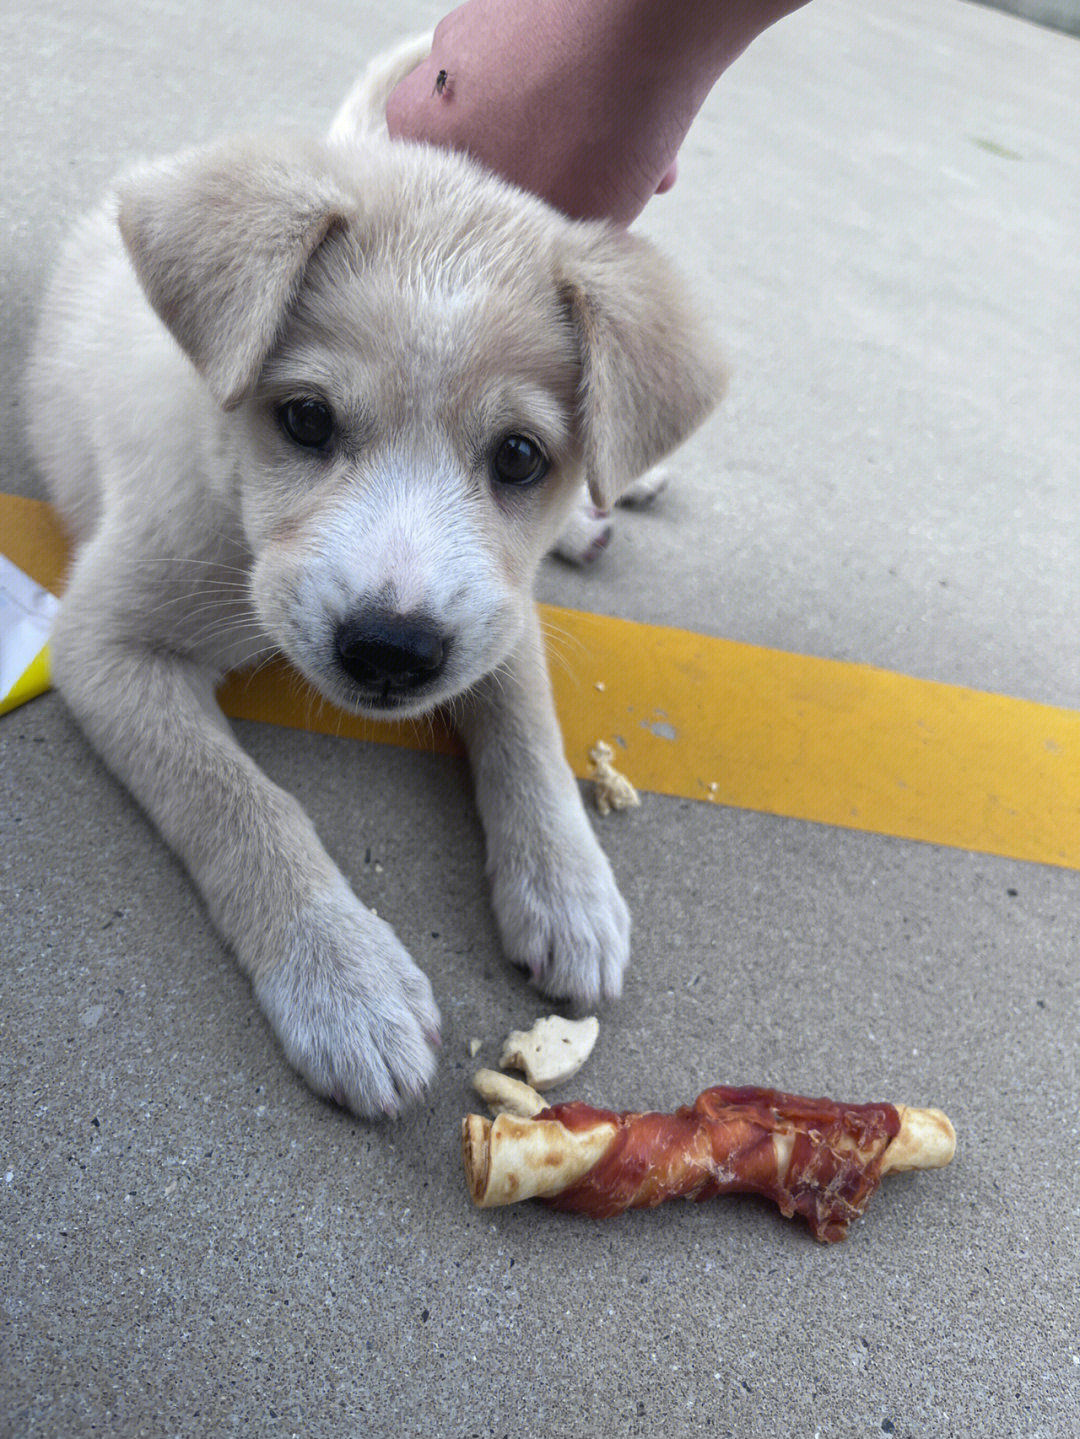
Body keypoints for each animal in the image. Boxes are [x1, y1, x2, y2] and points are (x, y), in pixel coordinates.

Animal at [25, 39, 730, 1116]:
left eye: (520, 457)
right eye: (306, 419)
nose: (392, 652)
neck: (234, 503)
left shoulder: (496, 607)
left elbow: (524, 722)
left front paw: (568, 884)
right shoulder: (106, 641)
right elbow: (239, 801)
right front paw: (340, 974)